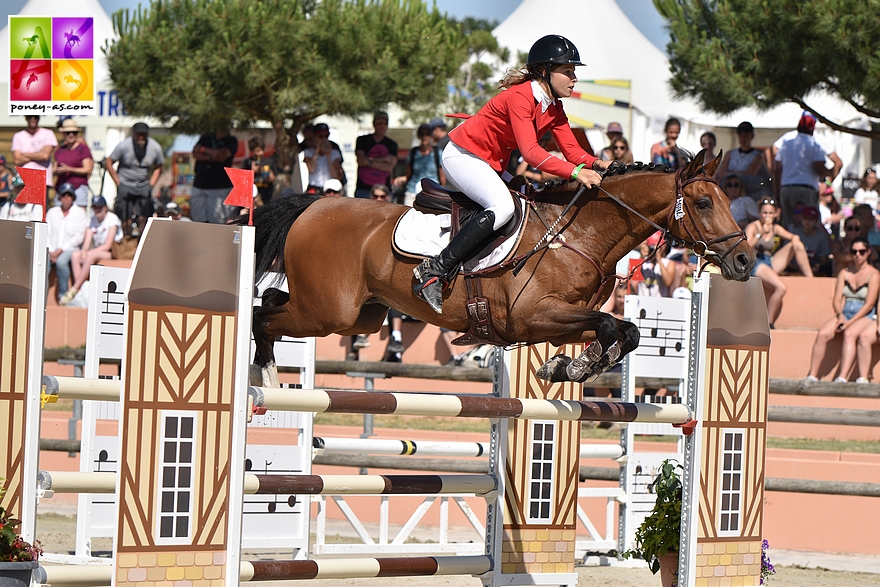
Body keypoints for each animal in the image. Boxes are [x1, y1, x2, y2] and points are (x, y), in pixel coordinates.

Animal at [249, 152, 756, 386]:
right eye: (704, 202)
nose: (744, 261)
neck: (579, 233)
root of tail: (315, 203)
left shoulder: (559, 320)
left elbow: (623, 330)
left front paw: (568, 367)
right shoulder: (533, 315)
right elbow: (614, 325)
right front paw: (575, 367)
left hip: (360, 315)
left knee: (271, 302)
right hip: (328, 311)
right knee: (262, 316)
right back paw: (267, 377)